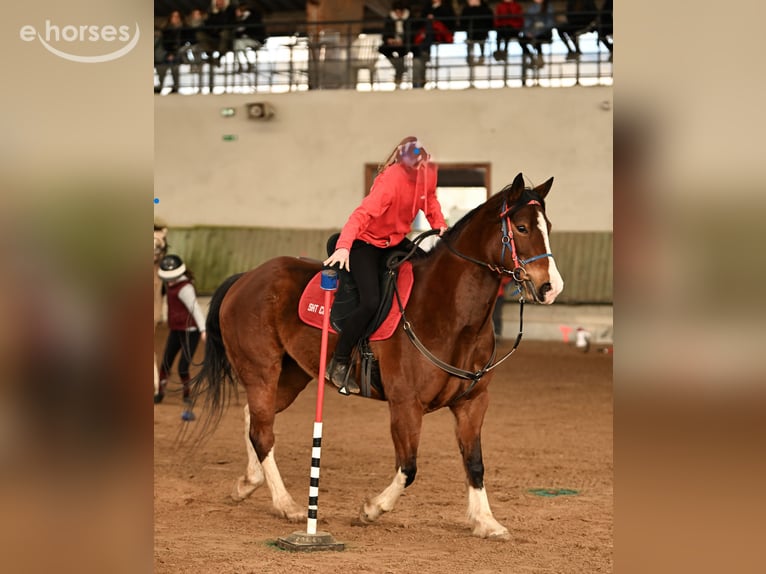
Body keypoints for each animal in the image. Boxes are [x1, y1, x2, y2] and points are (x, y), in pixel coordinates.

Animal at [189, 173, 564, 539]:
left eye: (548, 226)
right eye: (522, 228)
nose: (551, 287)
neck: (447, 311)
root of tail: (247, 278)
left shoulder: (472, 403)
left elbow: (474, 463)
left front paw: (486, 521)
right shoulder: (406, 405)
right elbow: (408, 467)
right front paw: (371, 509)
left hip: (293, 374)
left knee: (255, 419)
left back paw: (248, 483)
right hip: (261, 371)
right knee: (263, 433)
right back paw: (288, 505)